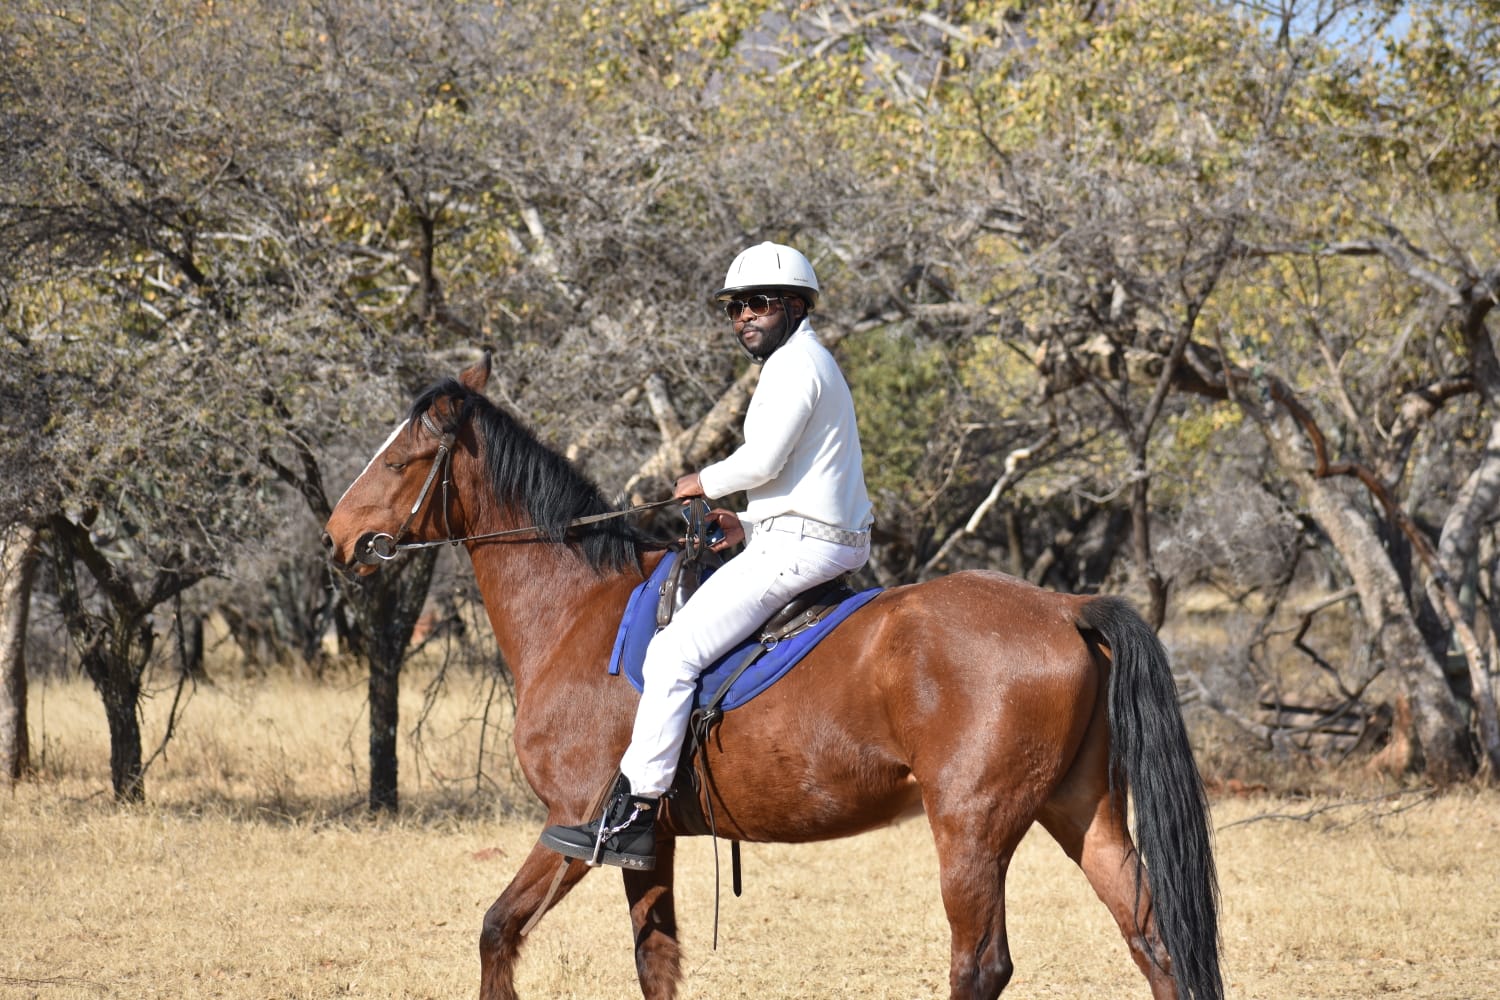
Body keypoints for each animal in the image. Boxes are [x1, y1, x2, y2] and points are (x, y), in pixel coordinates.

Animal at [321, 354, 1223, 1000]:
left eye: (401, 460)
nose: (336, 538)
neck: (579, 609)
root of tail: (1065, 607)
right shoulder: (649, 845)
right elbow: (655, 963)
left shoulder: (576, 827)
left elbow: (497, 932)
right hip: (1082, 813)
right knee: (1154, 942)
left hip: (973, 828)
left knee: (982, 965)